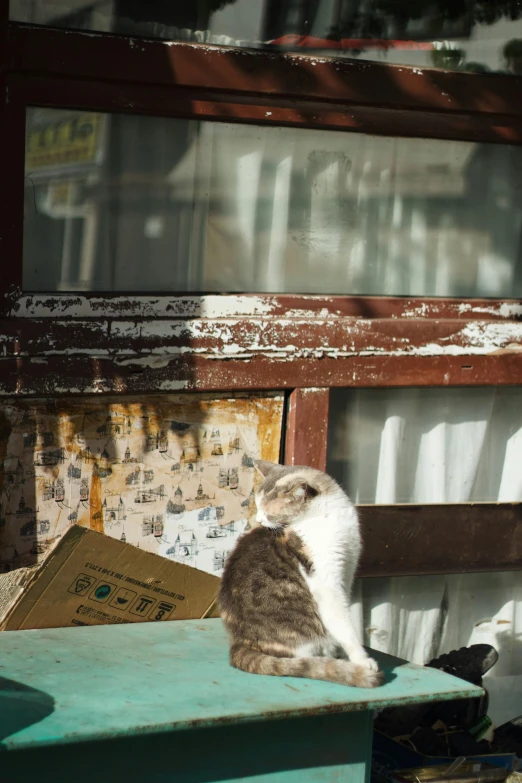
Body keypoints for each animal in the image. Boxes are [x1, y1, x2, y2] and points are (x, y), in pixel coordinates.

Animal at [217, 462, 380, 688]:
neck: (329, 515)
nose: (258, 520)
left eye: (267, 512)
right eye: (258, 508)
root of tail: (240, 641)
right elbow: (344, 625)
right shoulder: (327, 581)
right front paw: (361, 659)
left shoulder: (347, 570)